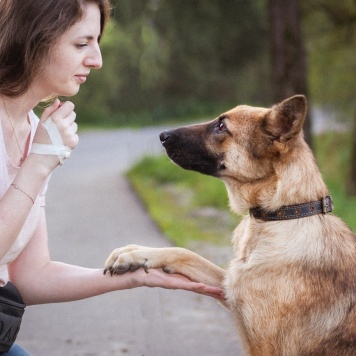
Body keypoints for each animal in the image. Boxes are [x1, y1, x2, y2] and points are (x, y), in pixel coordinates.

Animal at [105, 96, 356, 354]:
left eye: (221, 127)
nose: (162, 135)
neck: (283, 213)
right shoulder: (229, 287)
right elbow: (185, 253)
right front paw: (135, 253)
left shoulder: (265, 347)